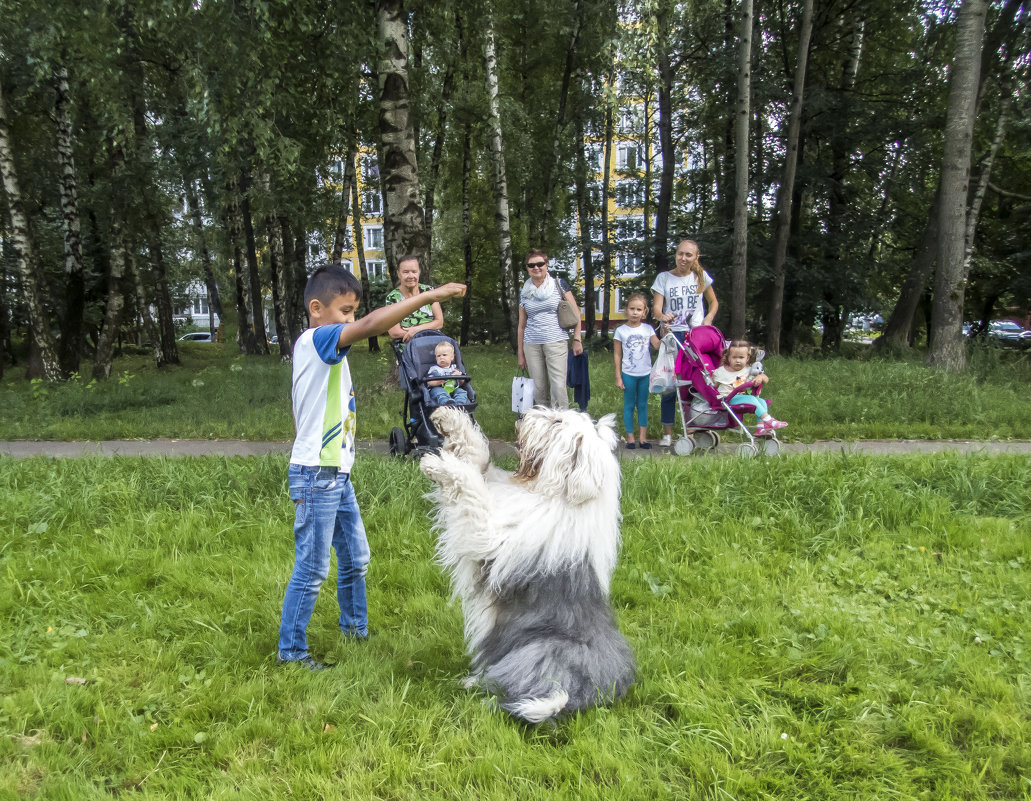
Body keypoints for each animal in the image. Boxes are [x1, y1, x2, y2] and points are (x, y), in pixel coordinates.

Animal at [420, 404, 635, 721]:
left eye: (557, 421)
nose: (521, 417)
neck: (554, 495)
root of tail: (597, 694)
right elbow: (479, 460)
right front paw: (449, 419)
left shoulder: (490, 535)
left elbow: (472, 489)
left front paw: (439, 465)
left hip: (539, 652)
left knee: (511, 683)